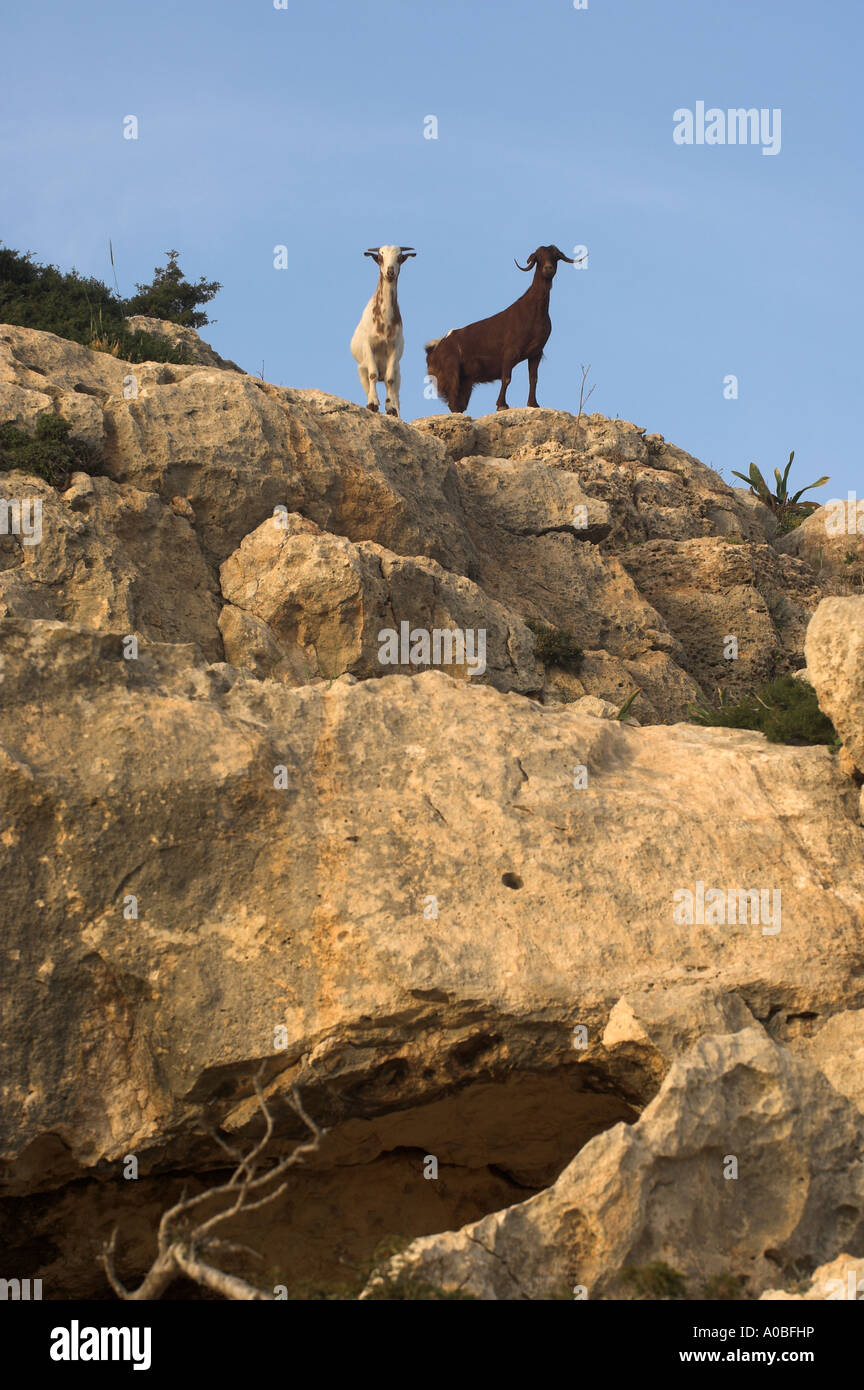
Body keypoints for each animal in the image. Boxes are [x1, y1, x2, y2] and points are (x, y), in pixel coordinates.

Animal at [350, 245, 416, 417]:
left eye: (399, 258)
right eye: (380, 257)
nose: (390, 272)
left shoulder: (394, 346)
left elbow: (389, 379)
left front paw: (390, 408)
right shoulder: (368, 345)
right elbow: (373, 374)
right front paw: (372, 404)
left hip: (399, 372)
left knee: (393, 388)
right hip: (361, 370)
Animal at [425, 245, 576, 413]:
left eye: (555, 256)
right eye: (538, 257)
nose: (548, 268)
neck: (533, 312)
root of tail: (434, 350)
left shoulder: (536, 352)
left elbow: (533, 378)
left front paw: (533, 404)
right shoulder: (510, 351)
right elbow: (507, 378)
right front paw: (502, 405)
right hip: (452, 369)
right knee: (453, 398)